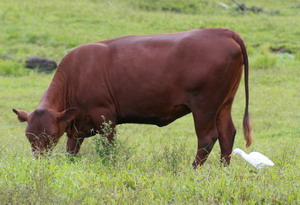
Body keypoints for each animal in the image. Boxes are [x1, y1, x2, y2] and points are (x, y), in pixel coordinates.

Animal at [12, 28, 252, 167]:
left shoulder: (105, 116)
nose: (39, 162)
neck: (77, 74)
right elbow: (71, 151)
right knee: (227, 134)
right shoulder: (76, 125)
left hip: (204, 105)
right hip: (224, 104)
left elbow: (109, 148)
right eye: (28, 135)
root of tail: (221, 32)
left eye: (52, 135)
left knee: (207, 137)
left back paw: (193, 170)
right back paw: (223, 170)